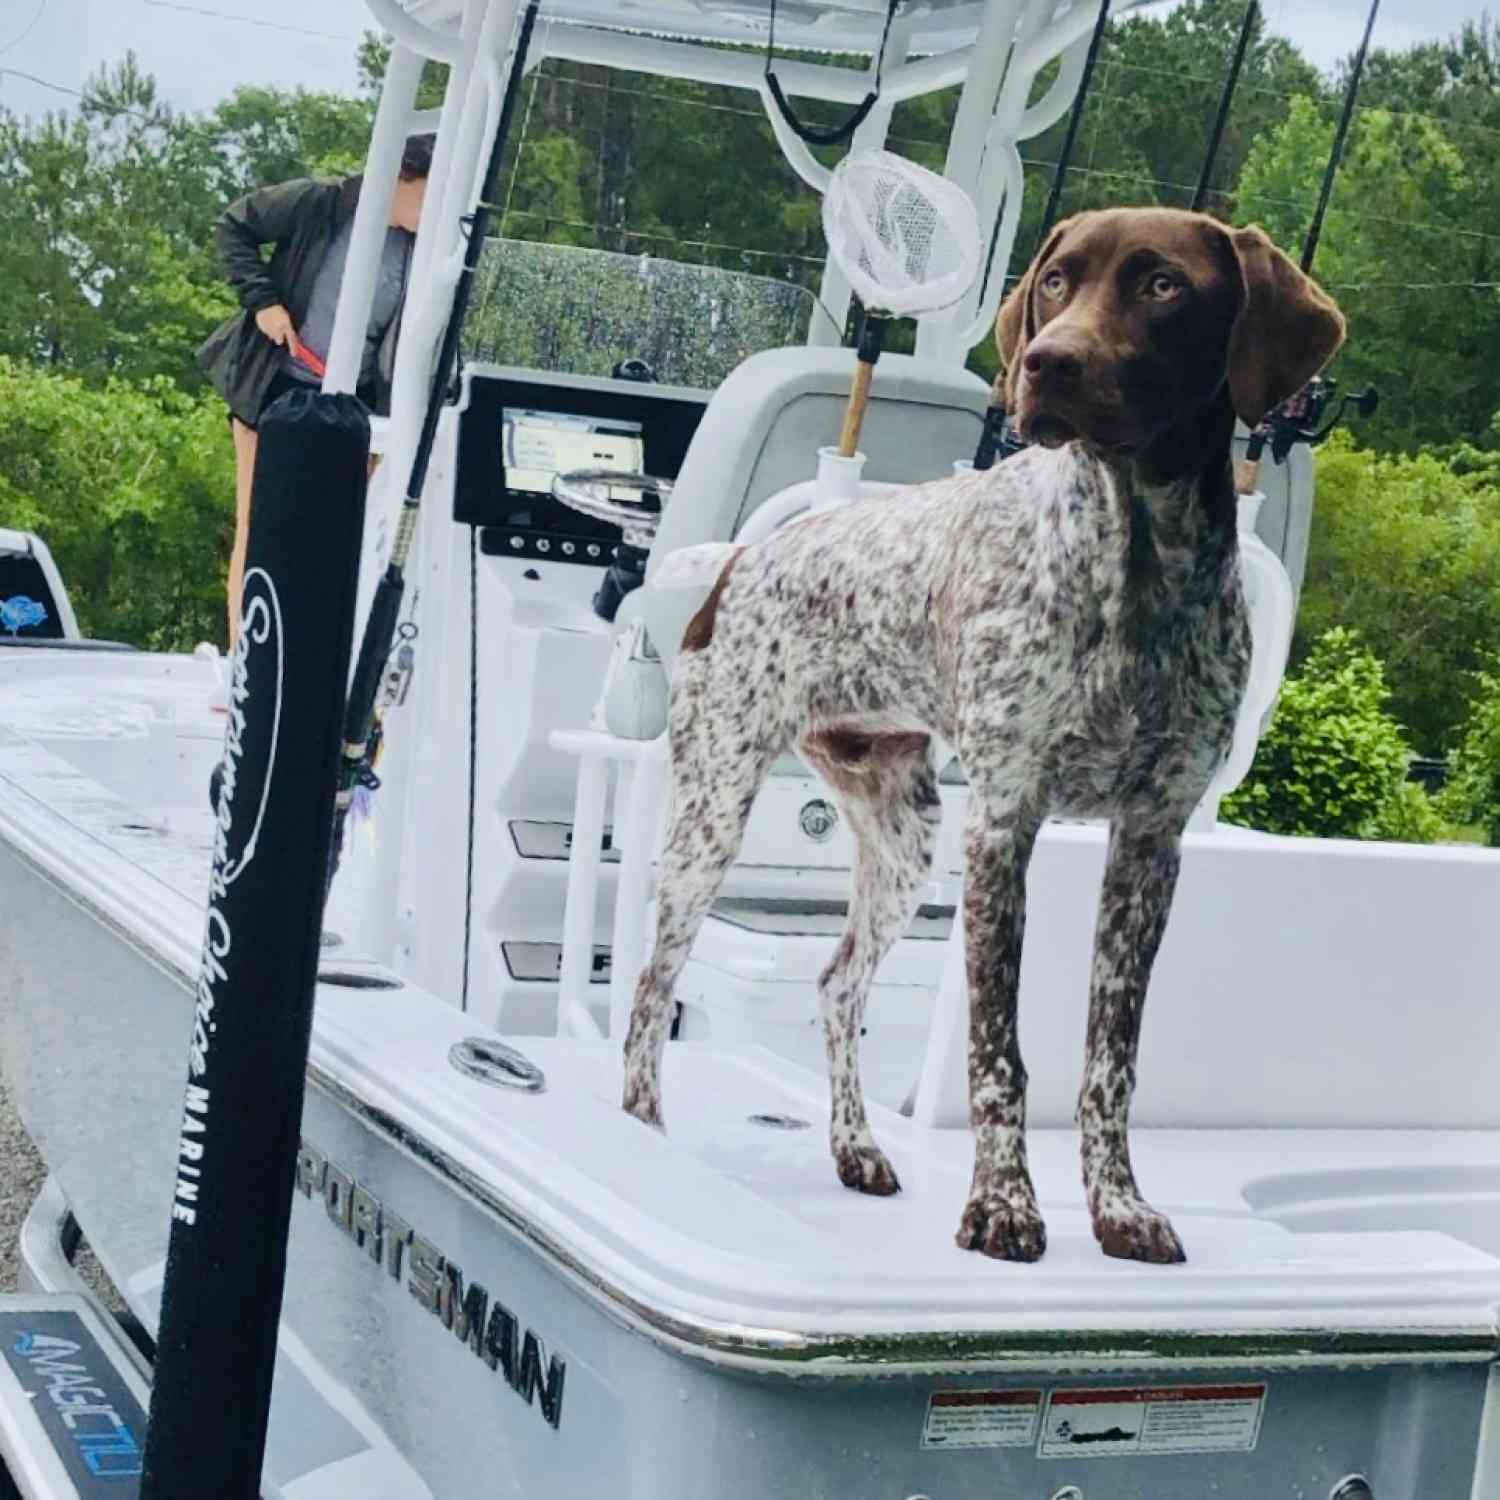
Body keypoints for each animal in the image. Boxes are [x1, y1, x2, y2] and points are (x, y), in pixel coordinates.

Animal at [621, 211, 1350, 1260]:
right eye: (1055, 282)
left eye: (1163, 285)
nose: (1047, 365)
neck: (1140, 566)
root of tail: (740, 561)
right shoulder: (1007, 822)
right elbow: (997, 1050)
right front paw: (1003, 1205)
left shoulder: (1151, 842)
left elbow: (1110, 1060)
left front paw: (1118, 1207)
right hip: (712, 816)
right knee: (649, 984)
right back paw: (639, 1129)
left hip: (903, 843)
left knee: (838, 986)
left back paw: (855, 1148)